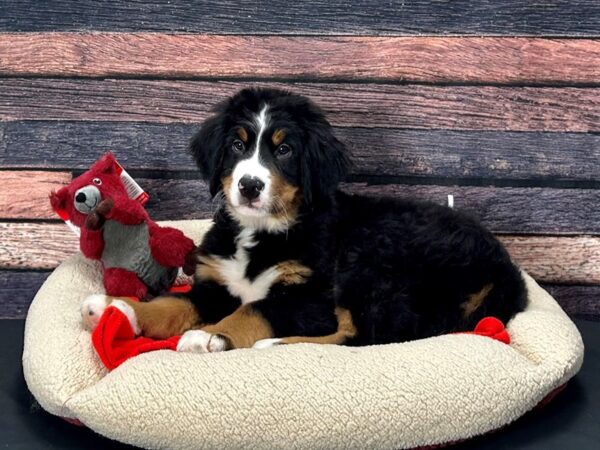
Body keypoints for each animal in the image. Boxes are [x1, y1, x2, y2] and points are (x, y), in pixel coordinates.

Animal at [81, 88, 524, 354]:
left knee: (365, 338)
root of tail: (506, 268)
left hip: (370, 264)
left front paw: (210, 335)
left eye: (285, 150)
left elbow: (255, 310)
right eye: (237, 145)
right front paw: (118, 307)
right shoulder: (214, 284)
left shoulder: (309, 297)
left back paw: (274, 346)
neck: (262, 233)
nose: (250, 185)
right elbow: (174, 302)